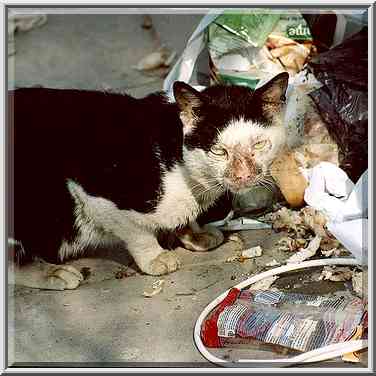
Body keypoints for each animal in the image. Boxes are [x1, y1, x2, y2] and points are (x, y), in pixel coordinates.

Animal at [8, 73, 290, 290]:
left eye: (259, 144)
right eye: (218, 151)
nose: (244, 175)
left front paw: (194, 234)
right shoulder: (93, 194)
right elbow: (136, 232)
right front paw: (155, 258)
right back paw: (52, 273)